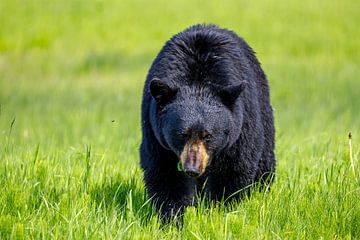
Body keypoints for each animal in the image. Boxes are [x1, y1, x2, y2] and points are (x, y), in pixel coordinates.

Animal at [139, 24, 274, 221]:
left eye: (208, 136)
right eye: (182, 134)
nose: (192, 169)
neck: (198, 81)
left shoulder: (239, 130)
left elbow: (233, 169)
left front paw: (220, 211)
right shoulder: (156, 134)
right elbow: (165, 173)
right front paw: (173, 217)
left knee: (265, 160)